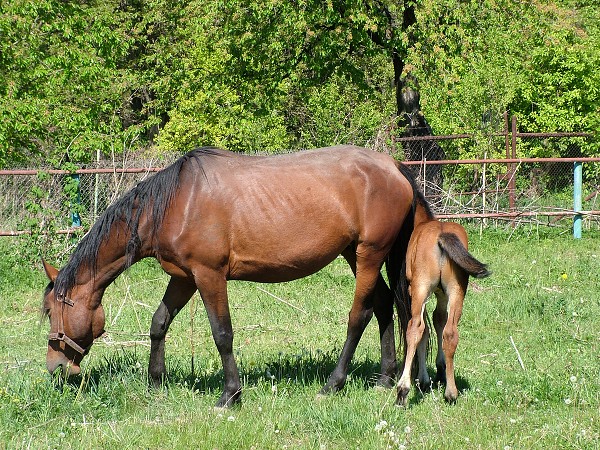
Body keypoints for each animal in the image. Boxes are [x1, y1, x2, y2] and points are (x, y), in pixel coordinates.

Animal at [42, 145, 422, 408]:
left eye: (53, 310)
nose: (55, 368)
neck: (178, 202)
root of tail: (394, 167)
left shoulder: (209, 276)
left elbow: (222, 333)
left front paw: (230, 394)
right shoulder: (184, 277)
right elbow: (159, 322)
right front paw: (156, 381)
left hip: (369, 254)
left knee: (360, 315)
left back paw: (333, 383)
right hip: (356, 254)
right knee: (384, 305)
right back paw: (385, 378)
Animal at [396, 192, 490, 406]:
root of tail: (441, 236)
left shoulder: (417, 292)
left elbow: (424, 331)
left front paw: (423, 379)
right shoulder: (441, 294)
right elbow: (439, 320)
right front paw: (440, 370)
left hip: (421, 289)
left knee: (415, 328)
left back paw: (403, 391)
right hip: (457, 291)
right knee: (450, 332)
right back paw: (451, 392)